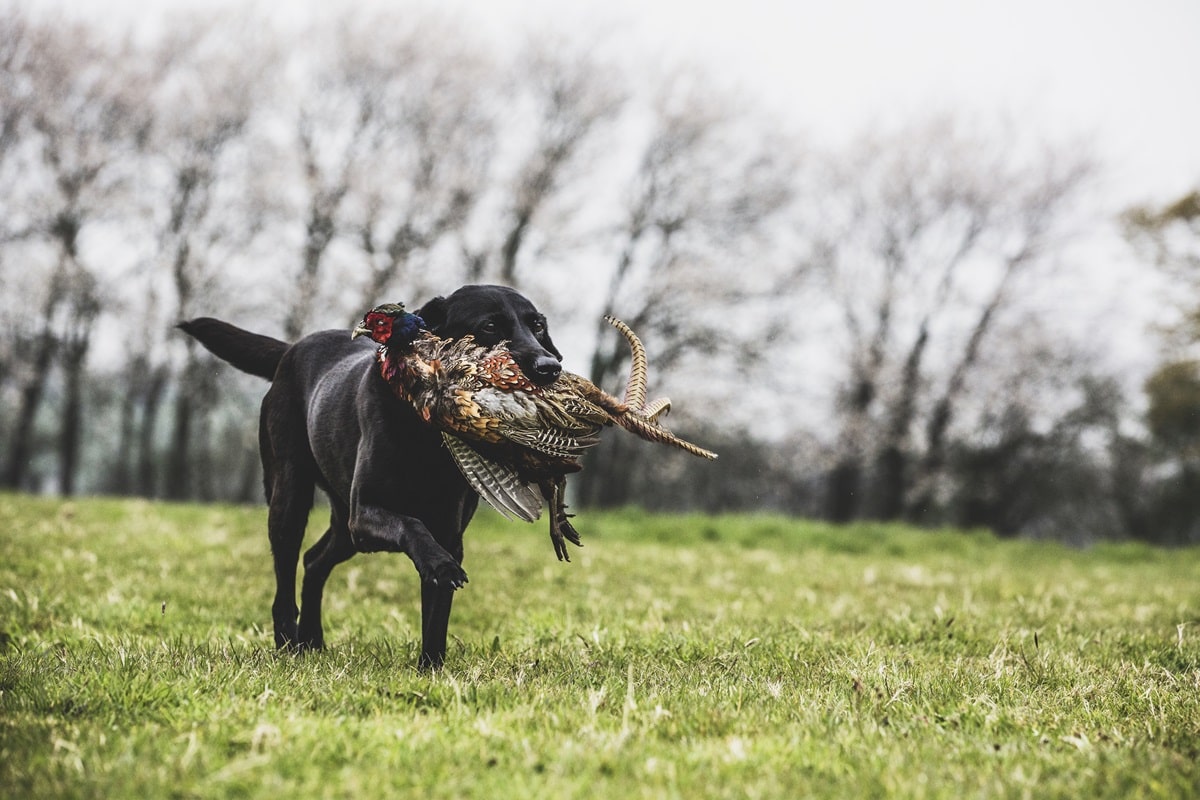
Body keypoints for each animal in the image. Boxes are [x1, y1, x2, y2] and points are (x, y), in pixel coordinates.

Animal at [178, 284, 566, 666]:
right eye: (489, 326)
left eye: (538, 326)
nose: (549, 368)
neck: (426, 435)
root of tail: (291, 349)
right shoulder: (366, 513)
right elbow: (413, 526)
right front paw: (439, 566)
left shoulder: (447, 531)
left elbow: (436, 614)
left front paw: (431, 667)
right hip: (292, 496)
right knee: (286, 573)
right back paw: (288, 641)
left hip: (343, 526)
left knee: (314, 561)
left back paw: (312, 640)